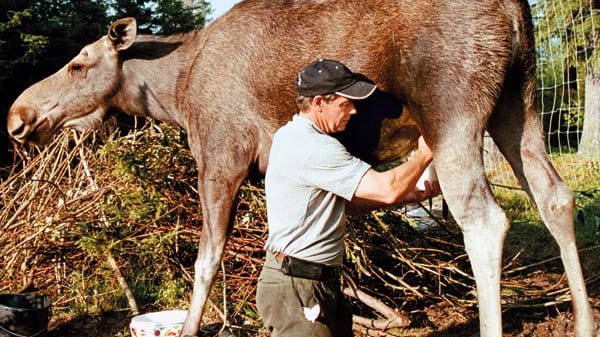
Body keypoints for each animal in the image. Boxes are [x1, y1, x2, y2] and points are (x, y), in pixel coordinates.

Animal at [5, 0, 600, 334]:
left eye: (78, 63)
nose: (18, 116)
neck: (174, 91)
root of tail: (516, 11)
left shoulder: (221, 155)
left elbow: (206, 263)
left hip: (454, 108)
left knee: (485, 219)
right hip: (518, 105)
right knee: (555, 196)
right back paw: (583, 323)